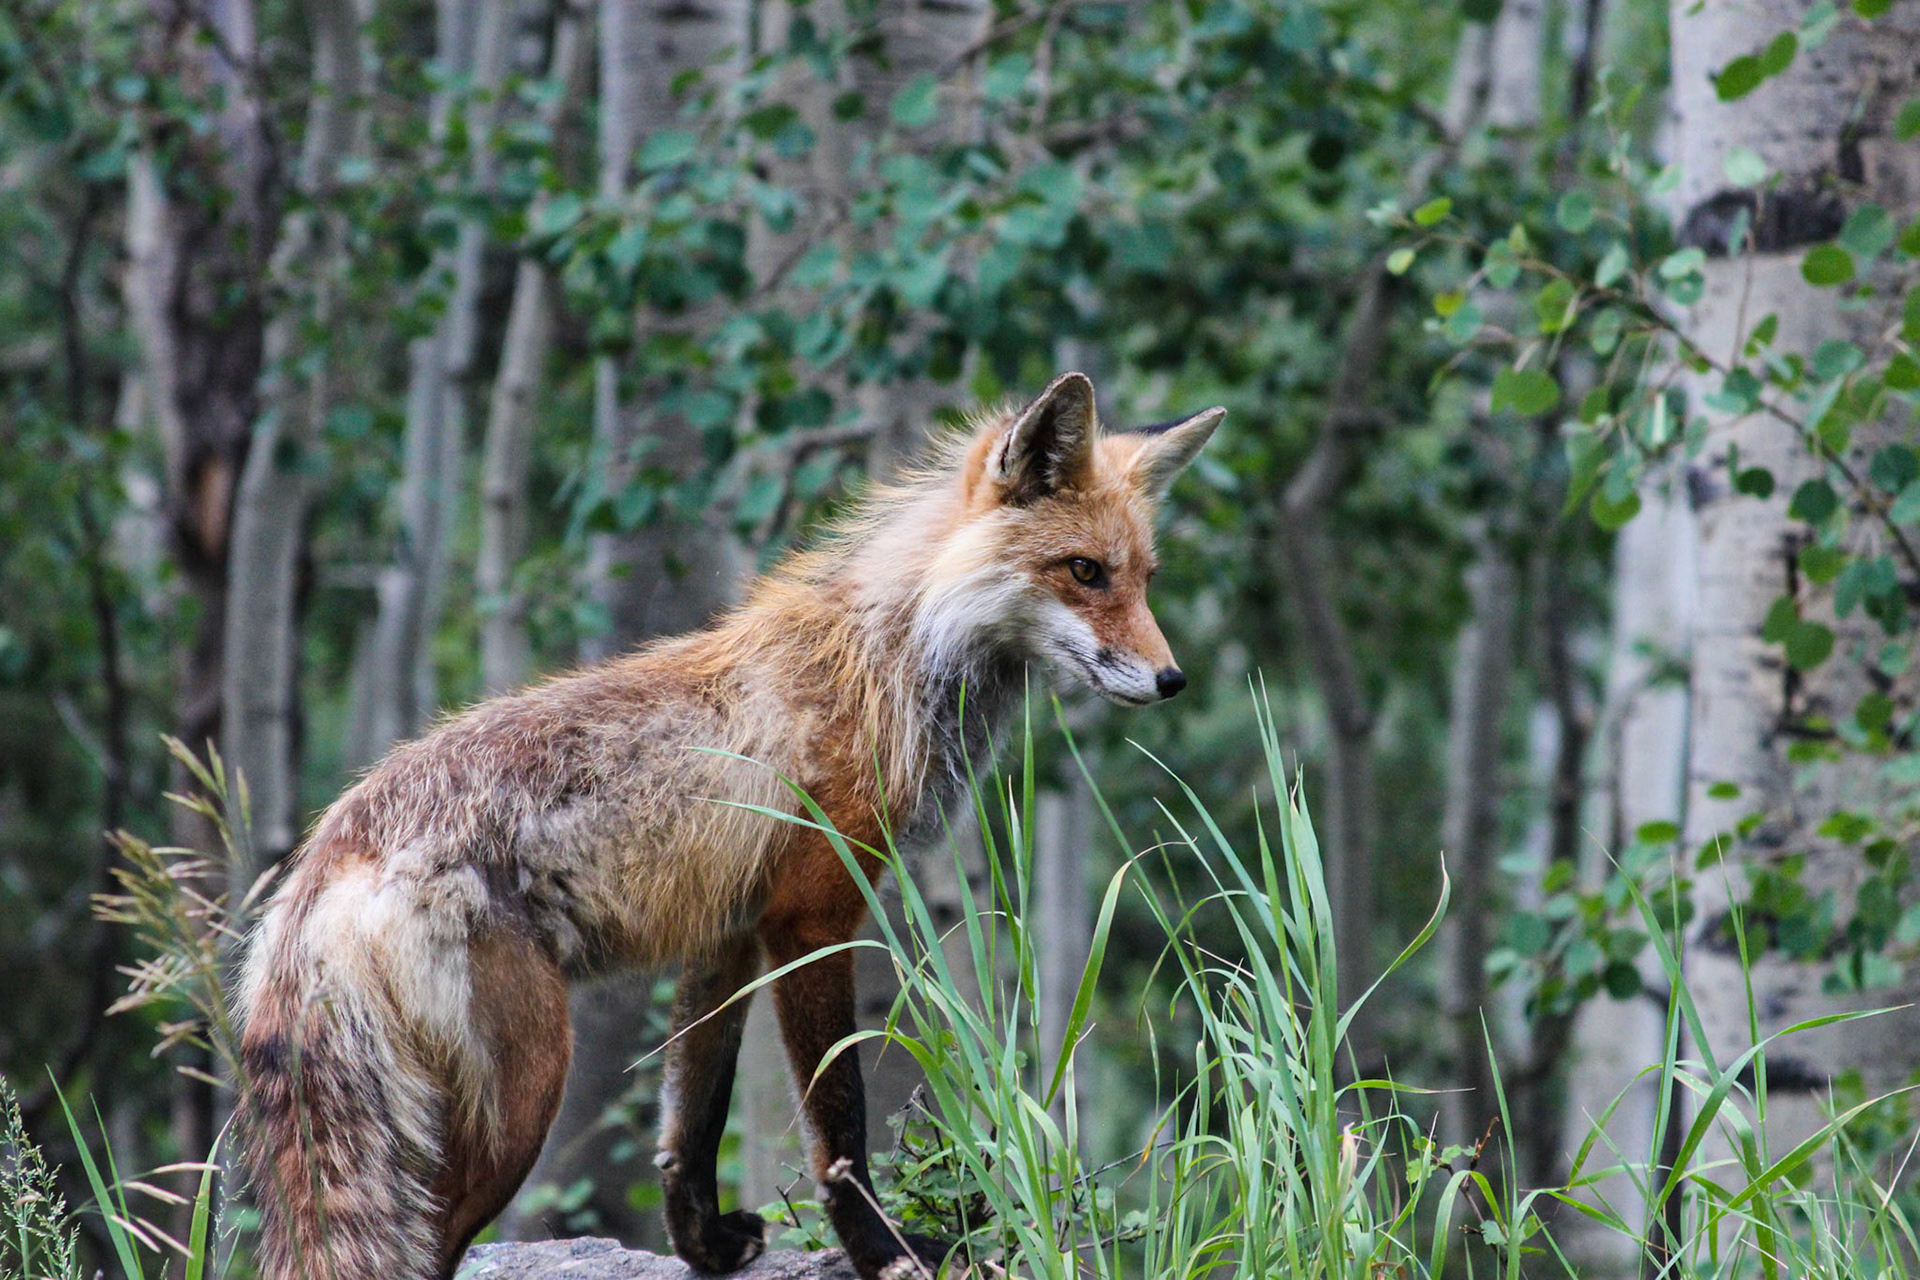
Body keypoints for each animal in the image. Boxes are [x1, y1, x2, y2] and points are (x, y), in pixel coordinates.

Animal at [235, 371, 1223, 1280]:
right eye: (1084, 572)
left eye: (1145, 580)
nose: (1173, 680)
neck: (890, 659)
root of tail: (320, 863)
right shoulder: (811, 915)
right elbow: (840, 1125)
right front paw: (883, 1254)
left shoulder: (728, 932)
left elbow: (691, 1120)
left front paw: (703, 1246)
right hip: (520, 1099)